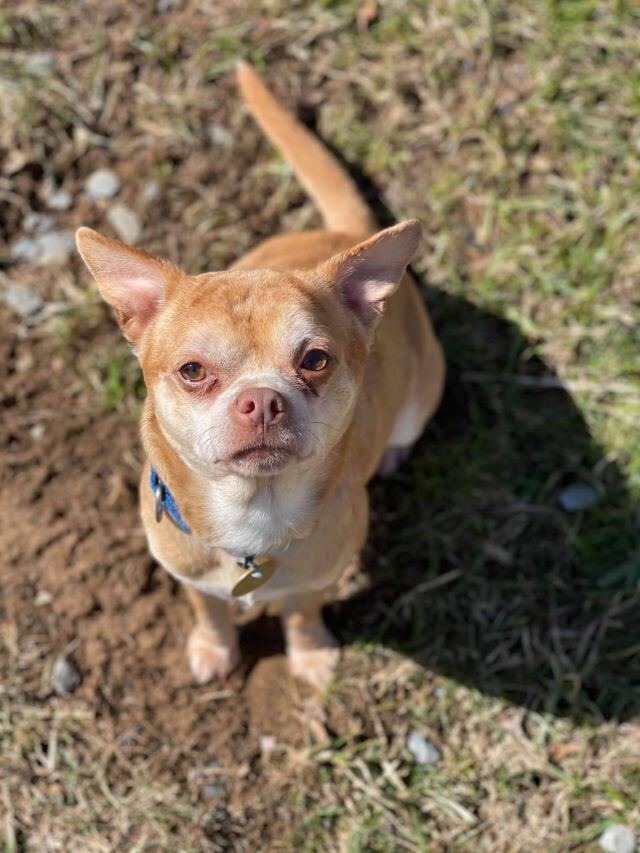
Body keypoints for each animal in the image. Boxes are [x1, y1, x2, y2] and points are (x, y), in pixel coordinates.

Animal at [75, 63, 444, 688]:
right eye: (193, 371)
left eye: (315, 360)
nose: (263, 401)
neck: (253, 516)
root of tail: (343, 236)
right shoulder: (188, 573)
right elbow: (209, 608)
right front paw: (213, 647)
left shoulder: (321, 575)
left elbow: (301, 611)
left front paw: (310, 656)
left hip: (421, 394)